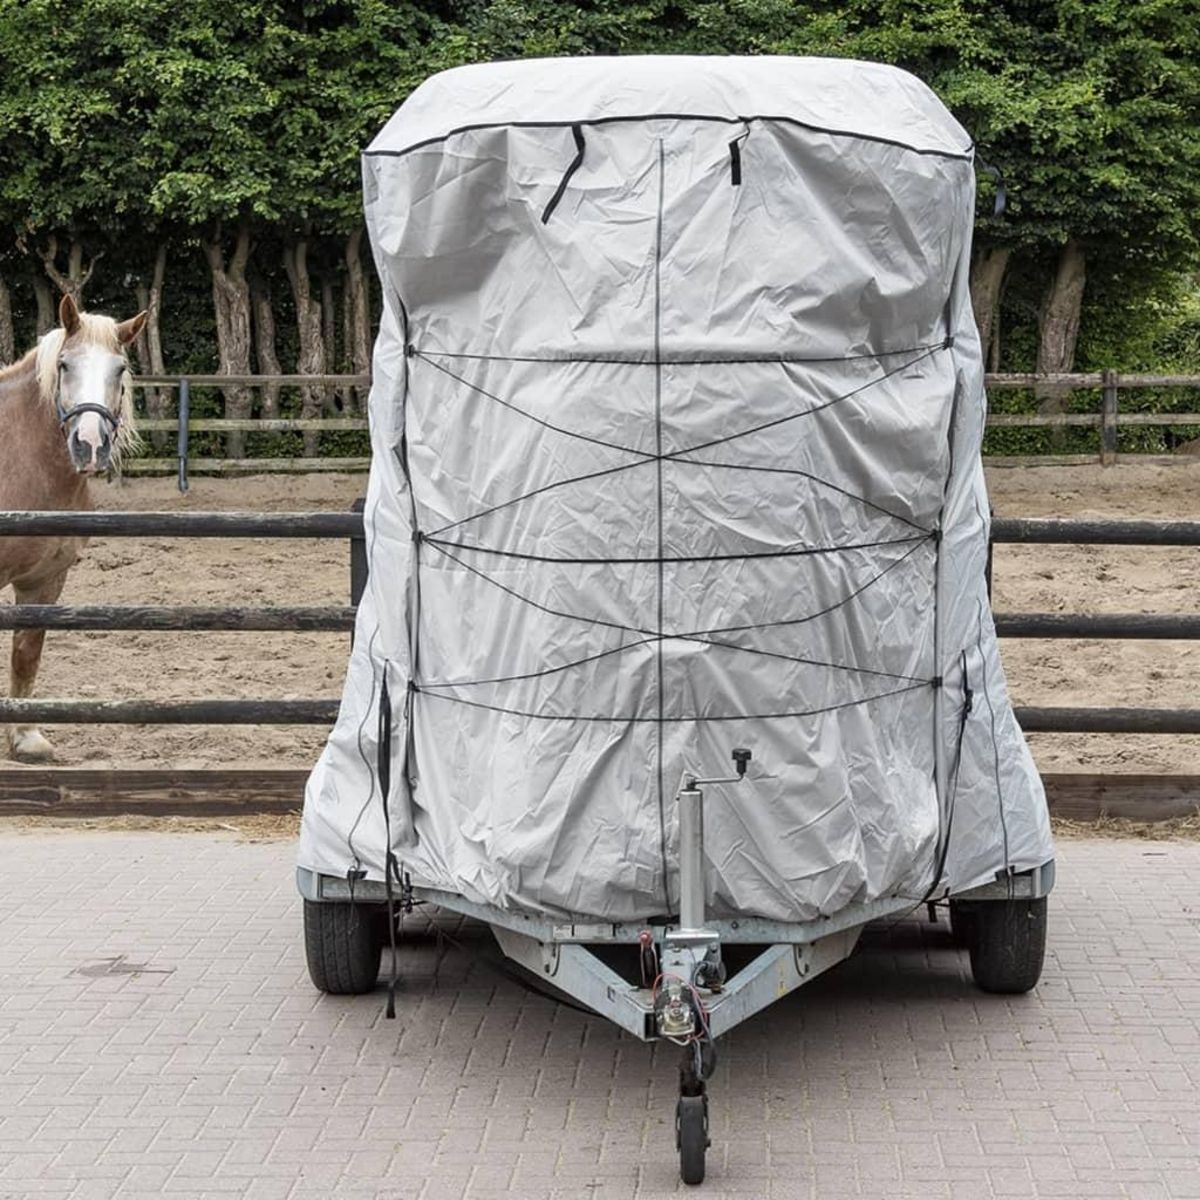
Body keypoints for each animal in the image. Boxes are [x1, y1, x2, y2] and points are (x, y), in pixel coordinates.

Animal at [0, 294, 146, 761]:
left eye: (120, 369)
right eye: (64, 365)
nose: (90, 445)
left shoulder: (46, 580)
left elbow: (26, 653)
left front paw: (26, 738)